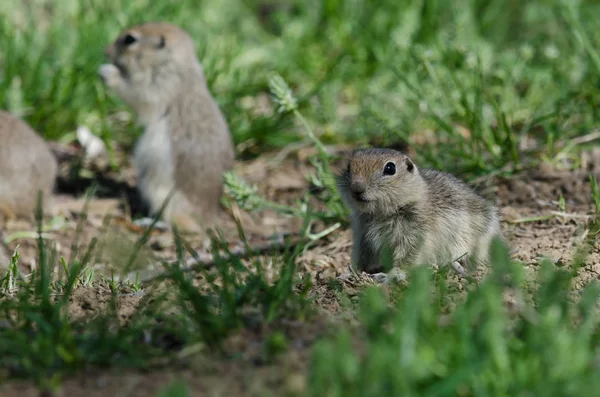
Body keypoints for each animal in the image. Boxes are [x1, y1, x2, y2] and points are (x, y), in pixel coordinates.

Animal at [98, 21, 234, 232]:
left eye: (130, 39)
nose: (105, 50)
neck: (175, 65)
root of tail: (207, 222)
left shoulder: (158, 87)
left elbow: (137, 94)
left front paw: (107, 72)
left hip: (161, 197)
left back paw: (149, 223)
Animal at [338, 148, 502, 282]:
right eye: (348, 166)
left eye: (390, 168)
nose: (357, 188)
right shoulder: (362, 236)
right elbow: (362, 259)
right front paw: (349, 274)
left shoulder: (416, 235)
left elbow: (407, 257)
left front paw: (389, 276)